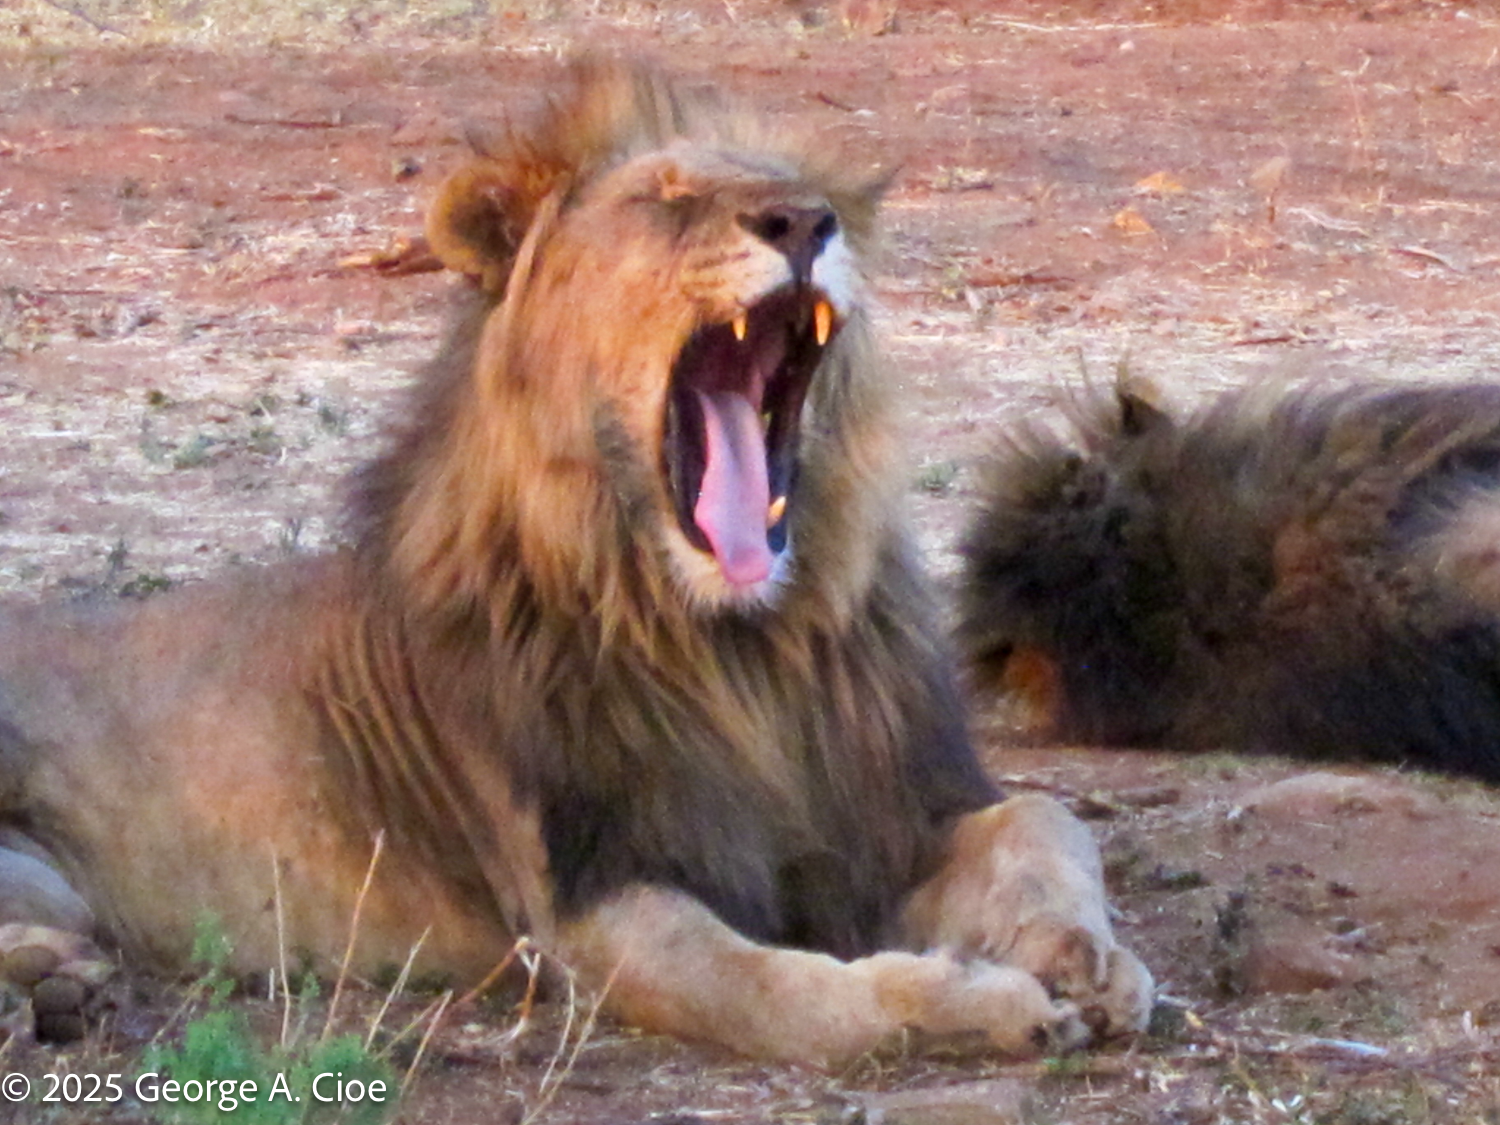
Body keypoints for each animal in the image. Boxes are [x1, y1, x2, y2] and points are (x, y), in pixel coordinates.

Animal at [0, 61, 1151, 1066]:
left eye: (813, 199)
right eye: (668, 198)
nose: (802, 224)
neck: (737, 650)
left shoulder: (893, 817)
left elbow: (1045, 821)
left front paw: (1089, 959)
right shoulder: (593, 902)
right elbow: (787, 996)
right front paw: (993, 1005)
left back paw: (58, 984)